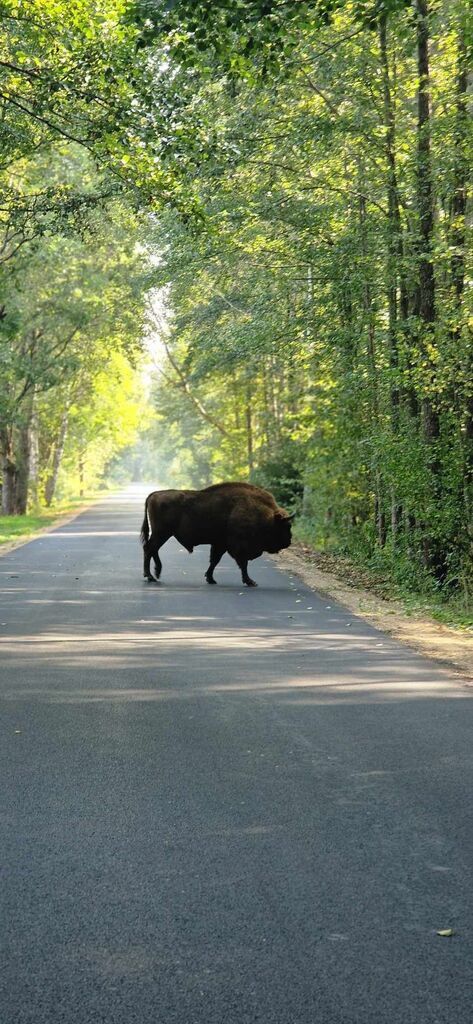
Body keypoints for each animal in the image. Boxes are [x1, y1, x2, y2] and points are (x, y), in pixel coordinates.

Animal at [140, 483, 292, 589]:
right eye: (286, 526)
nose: (289, 541)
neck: (266, 516)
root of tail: (154, 494)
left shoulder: (220, 544)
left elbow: (214, 561)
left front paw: (211, 579)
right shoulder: (238, 547)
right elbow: (242, 564)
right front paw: (250, 582)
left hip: (162, 534)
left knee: (152, 549)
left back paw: (156, 573)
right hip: (162, 533)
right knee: (149, 549)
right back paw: (150, 576)